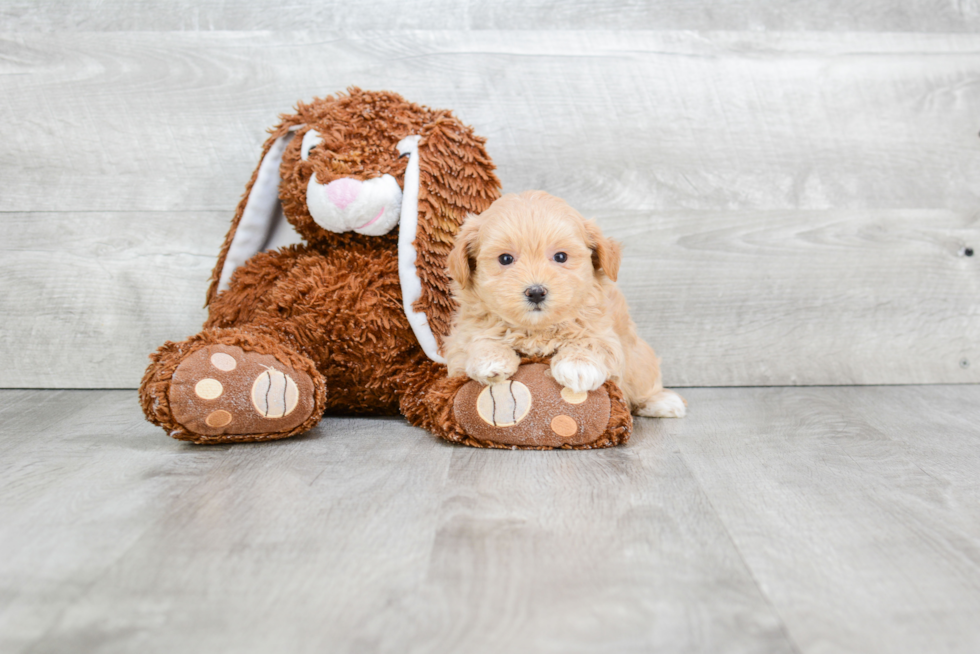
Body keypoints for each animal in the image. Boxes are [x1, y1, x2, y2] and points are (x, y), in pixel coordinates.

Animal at [446, 190, 684, 420]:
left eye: (560, 256)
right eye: (505, 259)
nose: (536, 292)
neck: (536, 330)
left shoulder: (606, 334)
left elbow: (592, 342)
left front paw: (578, 366)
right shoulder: (460, 341)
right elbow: (476, 340)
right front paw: (491, 359)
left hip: (639, 357)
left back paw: (661, 402)